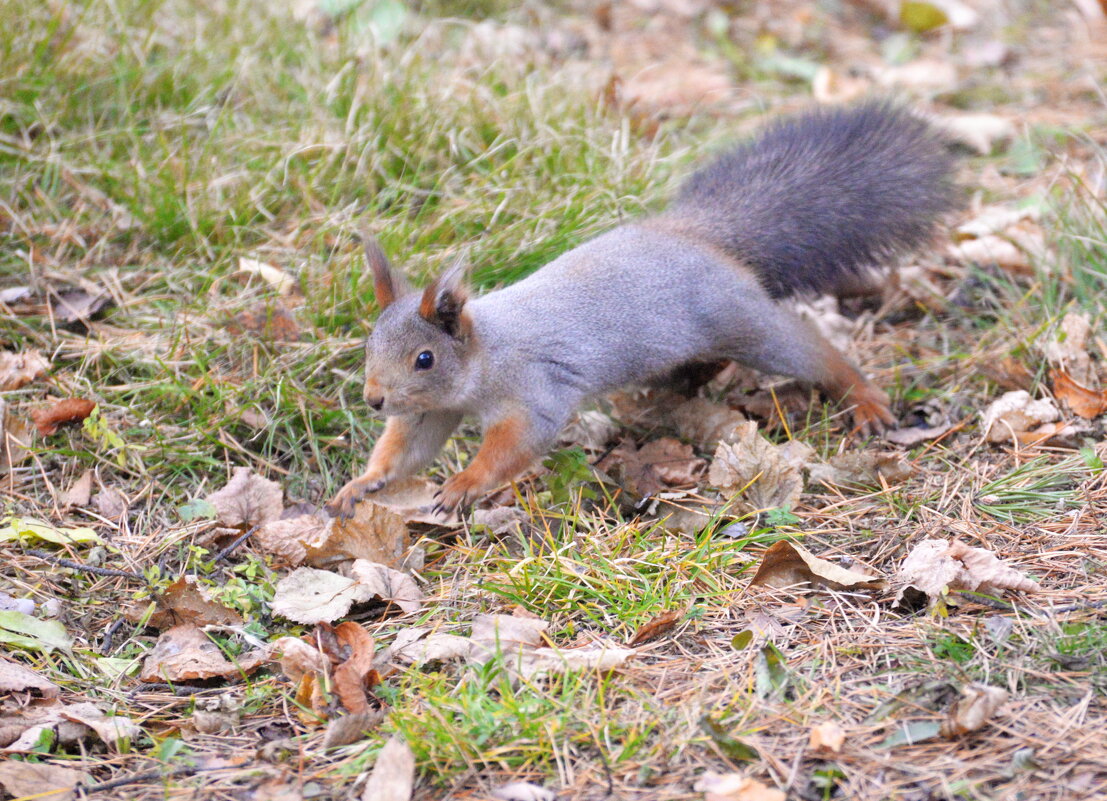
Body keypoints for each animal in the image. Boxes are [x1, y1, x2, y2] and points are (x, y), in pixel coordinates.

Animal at [323, 101, 956, 519]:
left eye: (425, 358)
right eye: (369, 344)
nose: (374, 399)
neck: (485, 354)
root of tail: (701, 237)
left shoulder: (534, 389)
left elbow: (519, 441)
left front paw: (465, 483)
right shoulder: (431, 411)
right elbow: (408, 448)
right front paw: (364, 483)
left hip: (742, 320)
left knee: (810, 352)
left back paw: (863, 398)